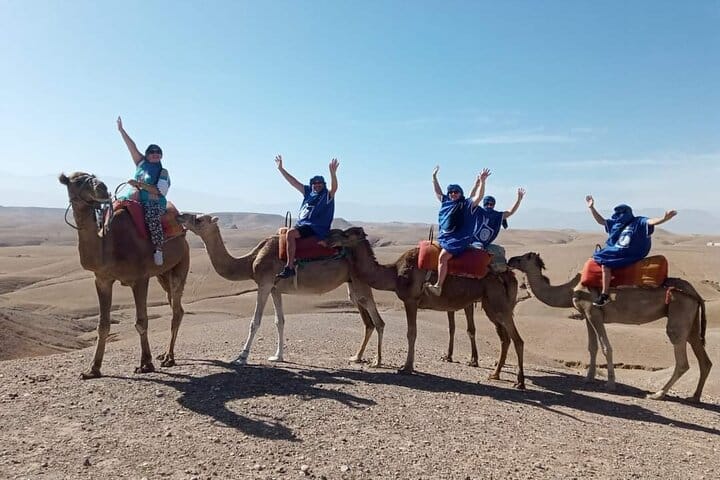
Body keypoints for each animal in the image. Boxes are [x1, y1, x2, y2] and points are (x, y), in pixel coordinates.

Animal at [59, 172, 190, 378]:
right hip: (163, 274)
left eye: (93, 176)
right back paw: (164, 354)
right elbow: (103, 325)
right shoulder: (102, 279)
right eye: (77, 181)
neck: (109, 245)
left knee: (176, 309)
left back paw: (169, 358)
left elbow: (141, 321)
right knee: (177, 306)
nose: (102, 187)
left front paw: (145, 364)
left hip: (182, 262)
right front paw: (92, 369)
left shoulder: (140, 279)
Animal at [175, 214, 386, 366]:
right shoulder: (275, 288)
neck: (250, 261)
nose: (180, 216)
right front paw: (278, 356)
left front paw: (241, 356)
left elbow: (255, 322)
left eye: (199, 219)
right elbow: (280, 321)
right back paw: (357, 357)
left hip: (360, 280)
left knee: (376, 318)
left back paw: (377, 361)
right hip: (351, 282)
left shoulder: (264, 283)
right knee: (366, 317)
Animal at [326, 227, 526, 389]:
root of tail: (509, 274)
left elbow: (411, 333)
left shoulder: (411, 300)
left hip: (498, 303)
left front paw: (406, 367)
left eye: (346, 234)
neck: (395, 274)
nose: (329, 237)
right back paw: (495, 374)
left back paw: (520, 382)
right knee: (505, 338)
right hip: (490, 304)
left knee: (517, 339)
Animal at [507, 252, 712, 402]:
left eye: (525, 257)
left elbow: (606, 347)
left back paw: (658, 394)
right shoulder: (586, 315)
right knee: (703, 357)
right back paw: (695, 397)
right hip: (691, 320)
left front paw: (610, 384)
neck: (571, 289)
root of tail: (695, 293)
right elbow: (592, 347)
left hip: (679, 310)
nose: (510, 260)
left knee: (681, 356)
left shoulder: (593, 312)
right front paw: (588, 378)